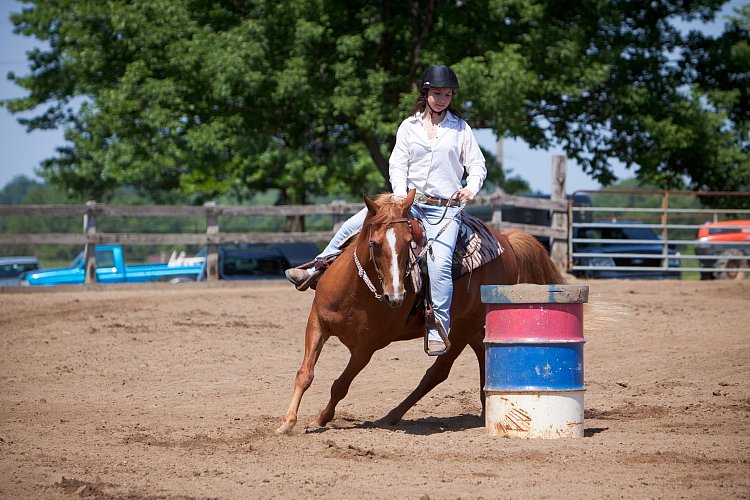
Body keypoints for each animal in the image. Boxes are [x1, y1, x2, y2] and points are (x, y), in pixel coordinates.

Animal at [276, 190, 564, 434]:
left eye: (408, 243)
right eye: (375, 243)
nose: (395, 296)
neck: (354, 292)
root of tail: (507, 241)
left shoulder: (365, 349)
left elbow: (340, 386)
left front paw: (320, 419)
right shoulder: (317, 323)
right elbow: (304, 374)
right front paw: (287, 423)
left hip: (461, 329)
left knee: (437, 373)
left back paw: (391, 416)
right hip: (471, 328)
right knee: (484, 354)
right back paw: (484, 409)